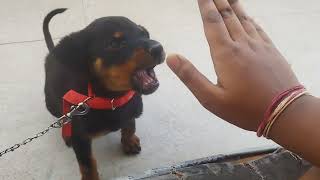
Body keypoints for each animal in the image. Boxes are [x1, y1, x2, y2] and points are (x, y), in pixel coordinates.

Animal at [42, 8, 165, 180]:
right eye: (114, 43)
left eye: (144, 34)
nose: (158, 48)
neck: (112, 99)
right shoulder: (81, 138)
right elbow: (87, 164)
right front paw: (91, 177)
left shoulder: (130, 110)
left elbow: (129, 125)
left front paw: (129, 141)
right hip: (52, 103)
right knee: (63, 117)